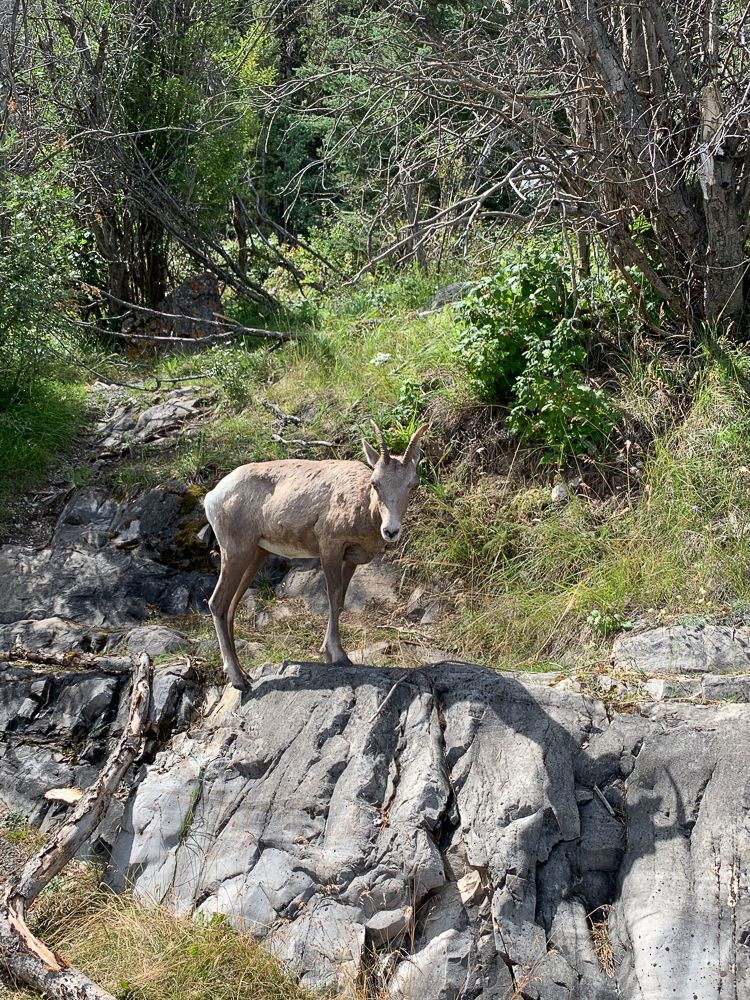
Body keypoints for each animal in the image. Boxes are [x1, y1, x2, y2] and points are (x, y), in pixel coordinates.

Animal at [203, 423, 427, 689]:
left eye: (411, 484)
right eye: (375, 483)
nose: (390, 531)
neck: (362, 506)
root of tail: (212, 496)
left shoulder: (349, 560)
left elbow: (340, 601)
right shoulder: (330, 548)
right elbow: (333, 596)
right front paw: (338, 656)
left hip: (255, 555)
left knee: (230, 607)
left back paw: (245, 674)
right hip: (235, 552)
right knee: (218, 603)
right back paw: (238, 680)